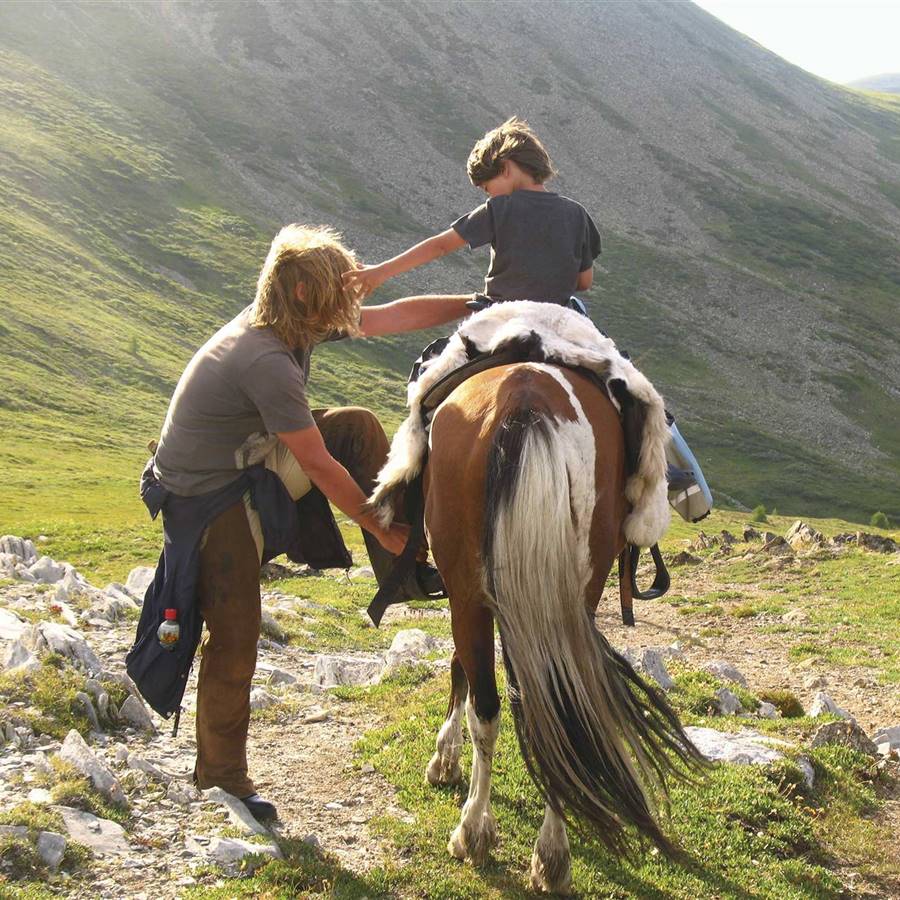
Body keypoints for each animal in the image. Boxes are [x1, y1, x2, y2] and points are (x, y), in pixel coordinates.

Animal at [422, 358, 704, 892]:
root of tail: (526, 399)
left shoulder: (464, 595)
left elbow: (462, 672)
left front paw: (445, 759)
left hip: (477, 593)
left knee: (505, 706)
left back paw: (479, 834)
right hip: (565, 597)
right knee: (558, 701)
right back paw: (549, 853)